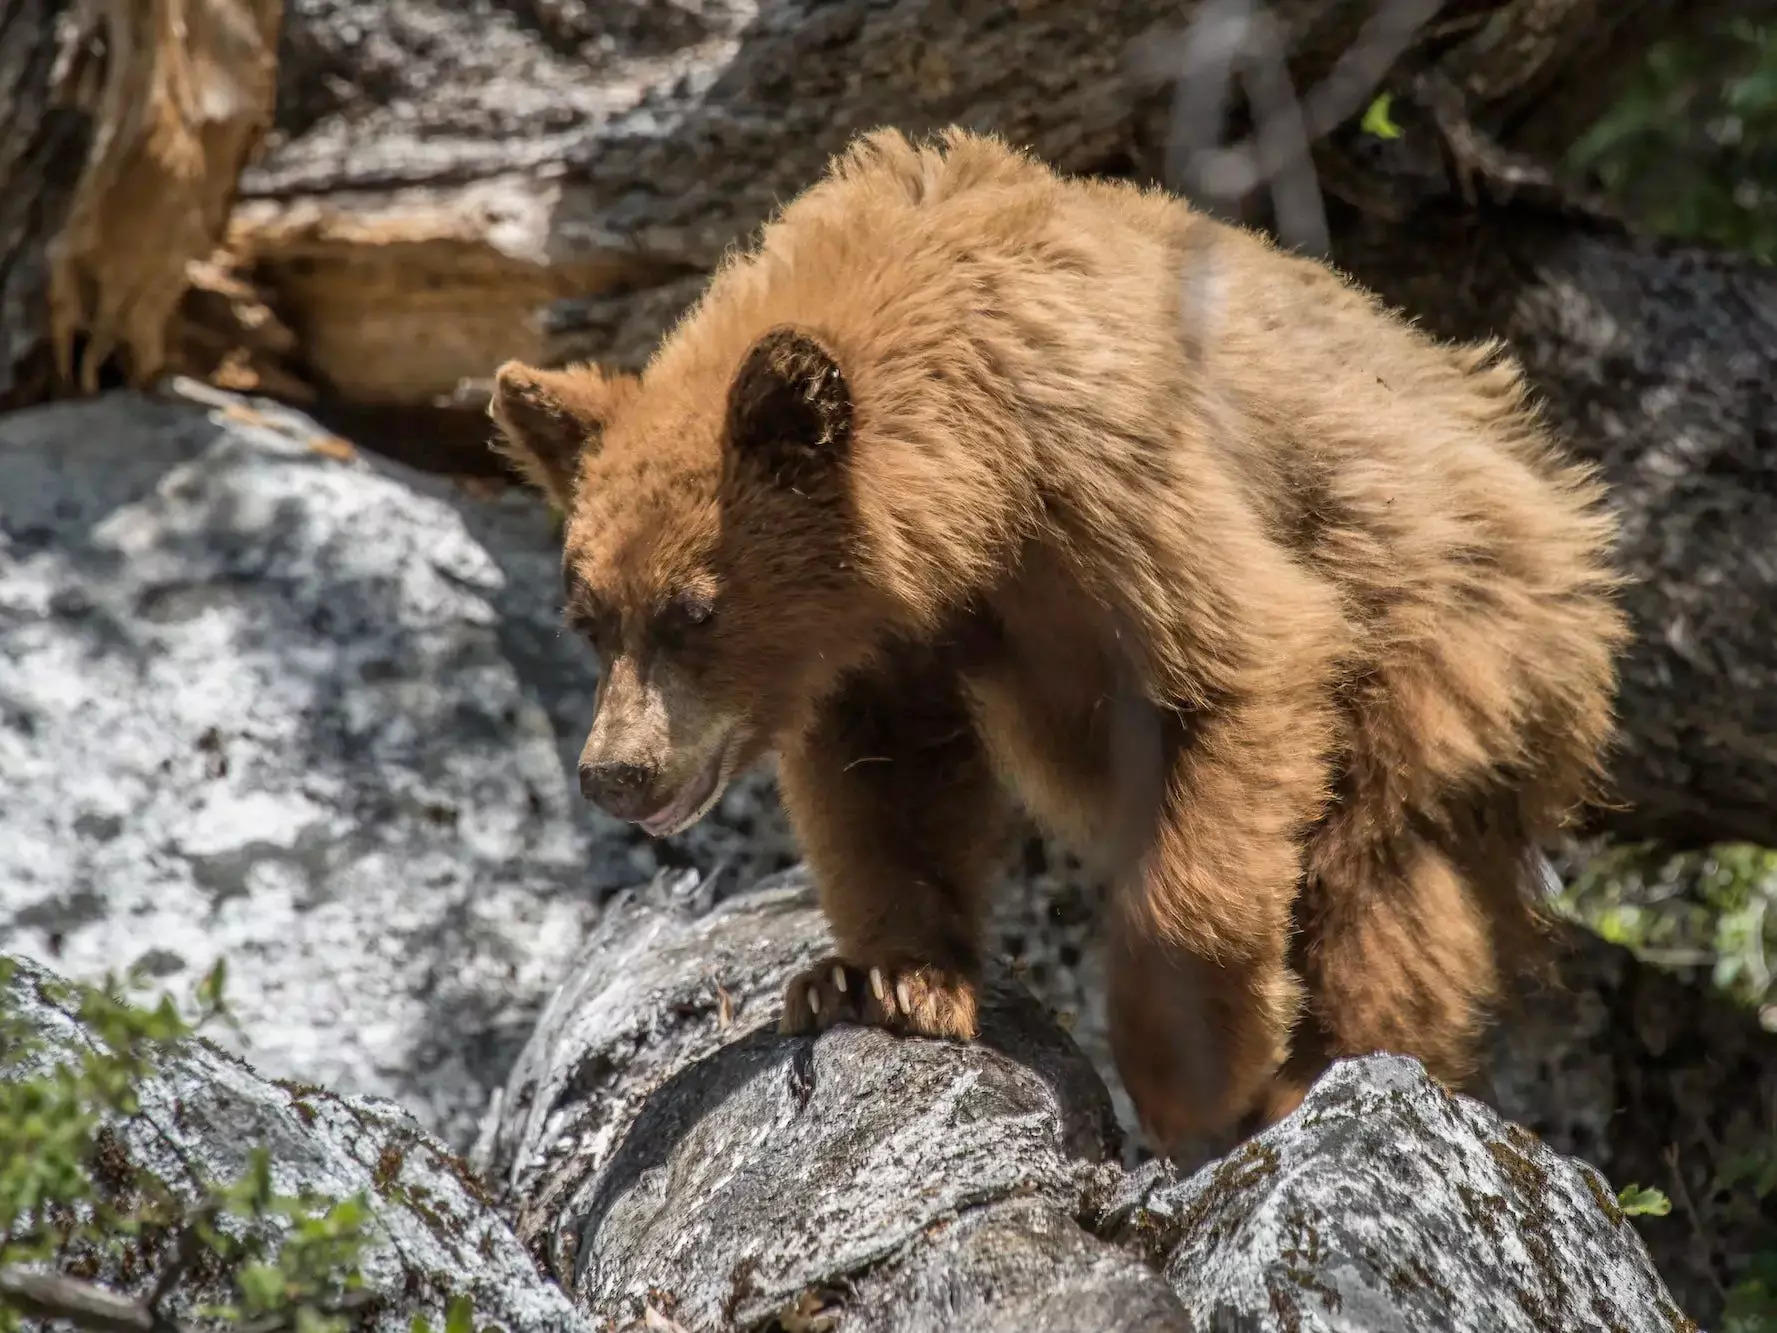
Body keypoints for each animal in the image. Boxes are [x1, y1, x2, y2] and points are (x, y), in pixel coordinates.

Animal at [486, 130, 1627, 1165]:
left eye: (695, 609)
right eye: (589, 616)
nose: (616, 772)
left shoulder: (1111, 481)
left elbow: (1239, 673)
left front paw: (1194, 1071)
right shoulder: (887, 635)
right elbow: (884, 782)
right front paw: (881, 978)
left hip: (1445, 621)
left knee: (1379, 870)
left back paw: (1333, 1073)